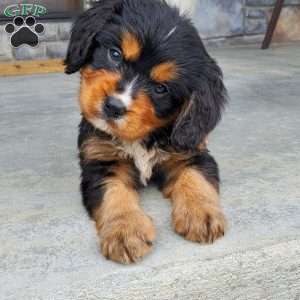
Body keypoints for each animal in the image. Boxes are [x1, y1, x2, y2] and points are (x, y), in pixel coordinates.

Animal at [63, 0, 227, 264]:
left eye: (160, 89)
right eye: (115, 54)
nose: (114, 106)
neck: (141, 137)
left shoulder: (192, 153)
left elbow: (196, 178)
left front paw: (202, 213)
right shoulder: (101, 161)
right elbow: (113, 193)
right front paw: (125, 230)